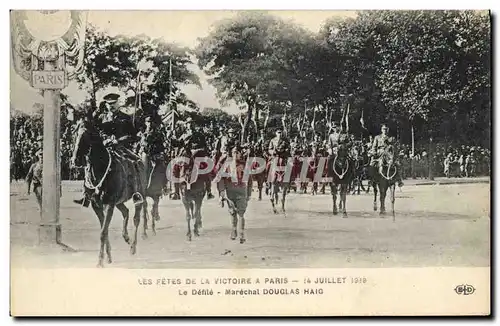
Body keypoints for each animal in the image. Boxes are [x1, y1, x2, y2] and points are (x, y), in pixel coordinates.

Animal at [71, 118, 147, 266]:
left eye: (87, 135)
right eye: (76, 133)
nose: (75, 160)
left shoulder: (109, 205)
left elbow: (103, 232)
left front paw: (100, 261)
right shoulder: (97, 206)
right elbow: (104, 231)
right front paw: (108, 256)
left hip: (138, 197)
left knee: (136, 219)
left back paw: (133, 247)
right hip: (119, 202)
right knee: (125, 212)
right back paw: (126, 237)